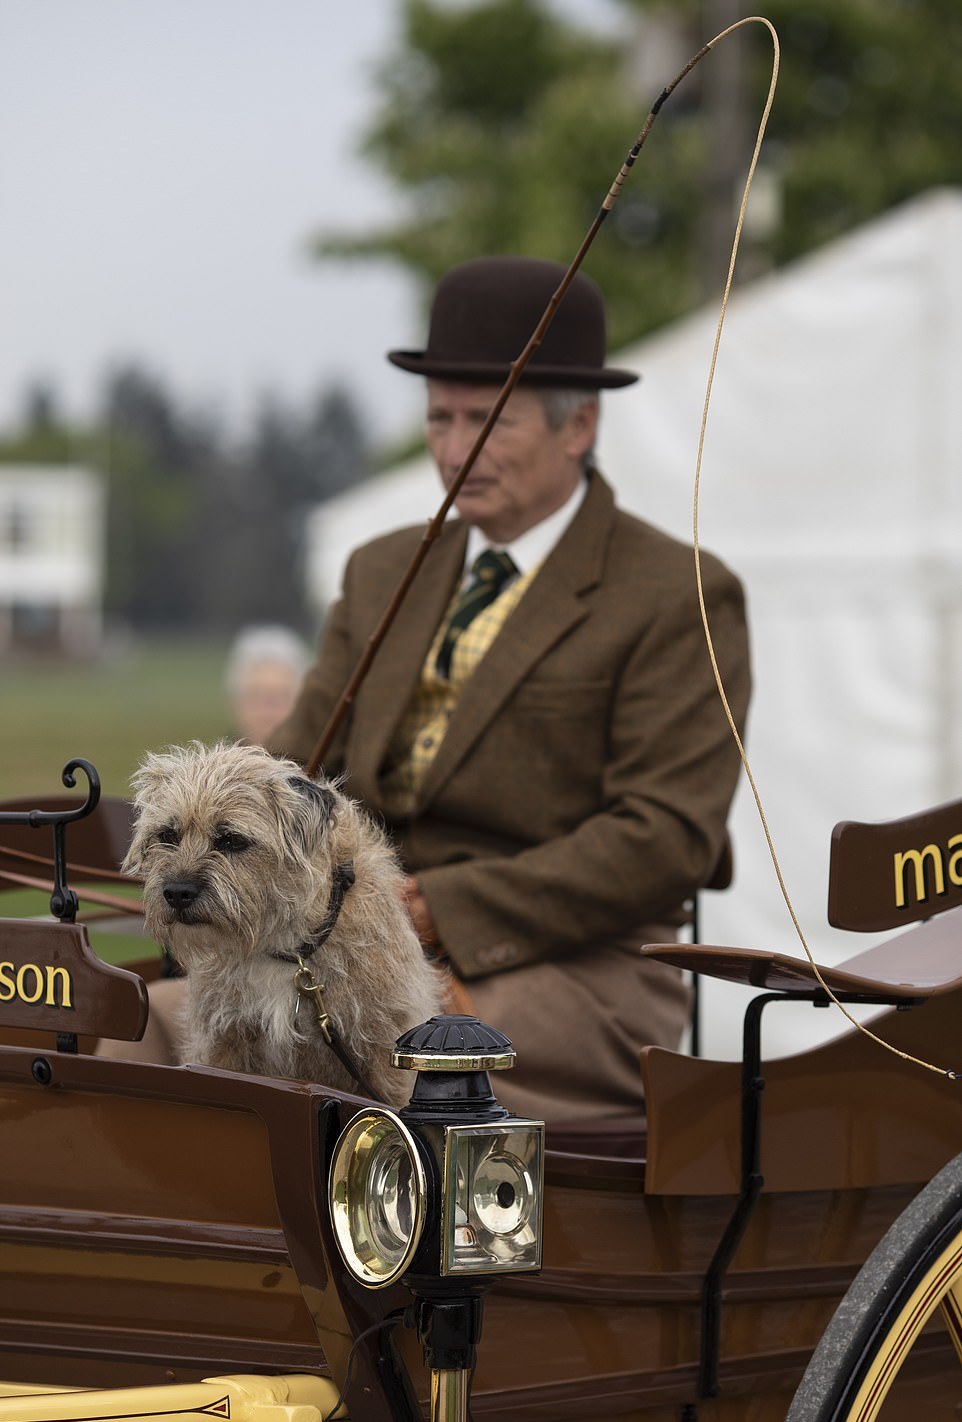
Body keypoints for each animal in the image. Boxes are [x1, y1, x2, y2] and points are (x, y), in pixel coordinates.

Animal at [122, 739, 443, 1103]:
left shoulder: (383, 1051)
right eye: (168, 835)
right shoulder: (223, 1044)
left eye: (232, 840)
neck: (283, 947)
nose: (176, 892)